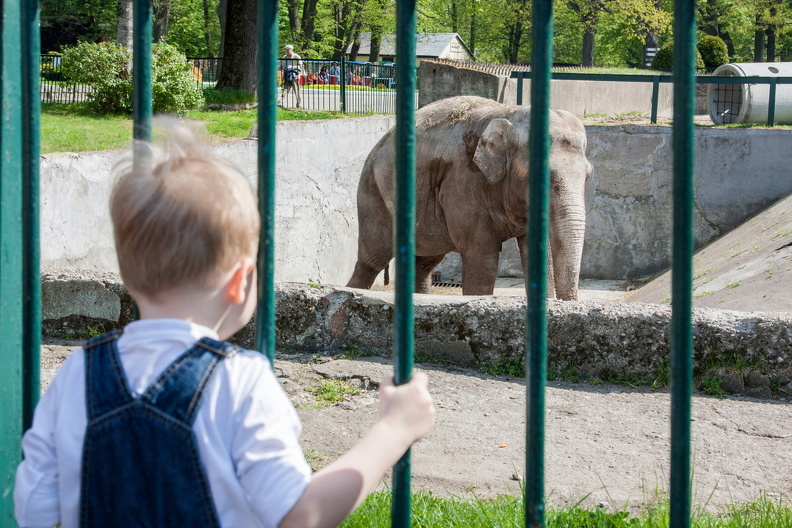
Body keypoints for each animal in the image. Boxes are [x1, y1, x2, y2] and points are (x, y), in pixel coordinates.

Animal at [344, 95, 592, 300]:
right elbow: (482, 257)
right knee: (372, 259)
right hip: (373, 192)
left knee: (425, 261)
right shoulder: (463, 182)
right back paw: (353, 290)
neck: (510, 114)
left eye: (588, 176)